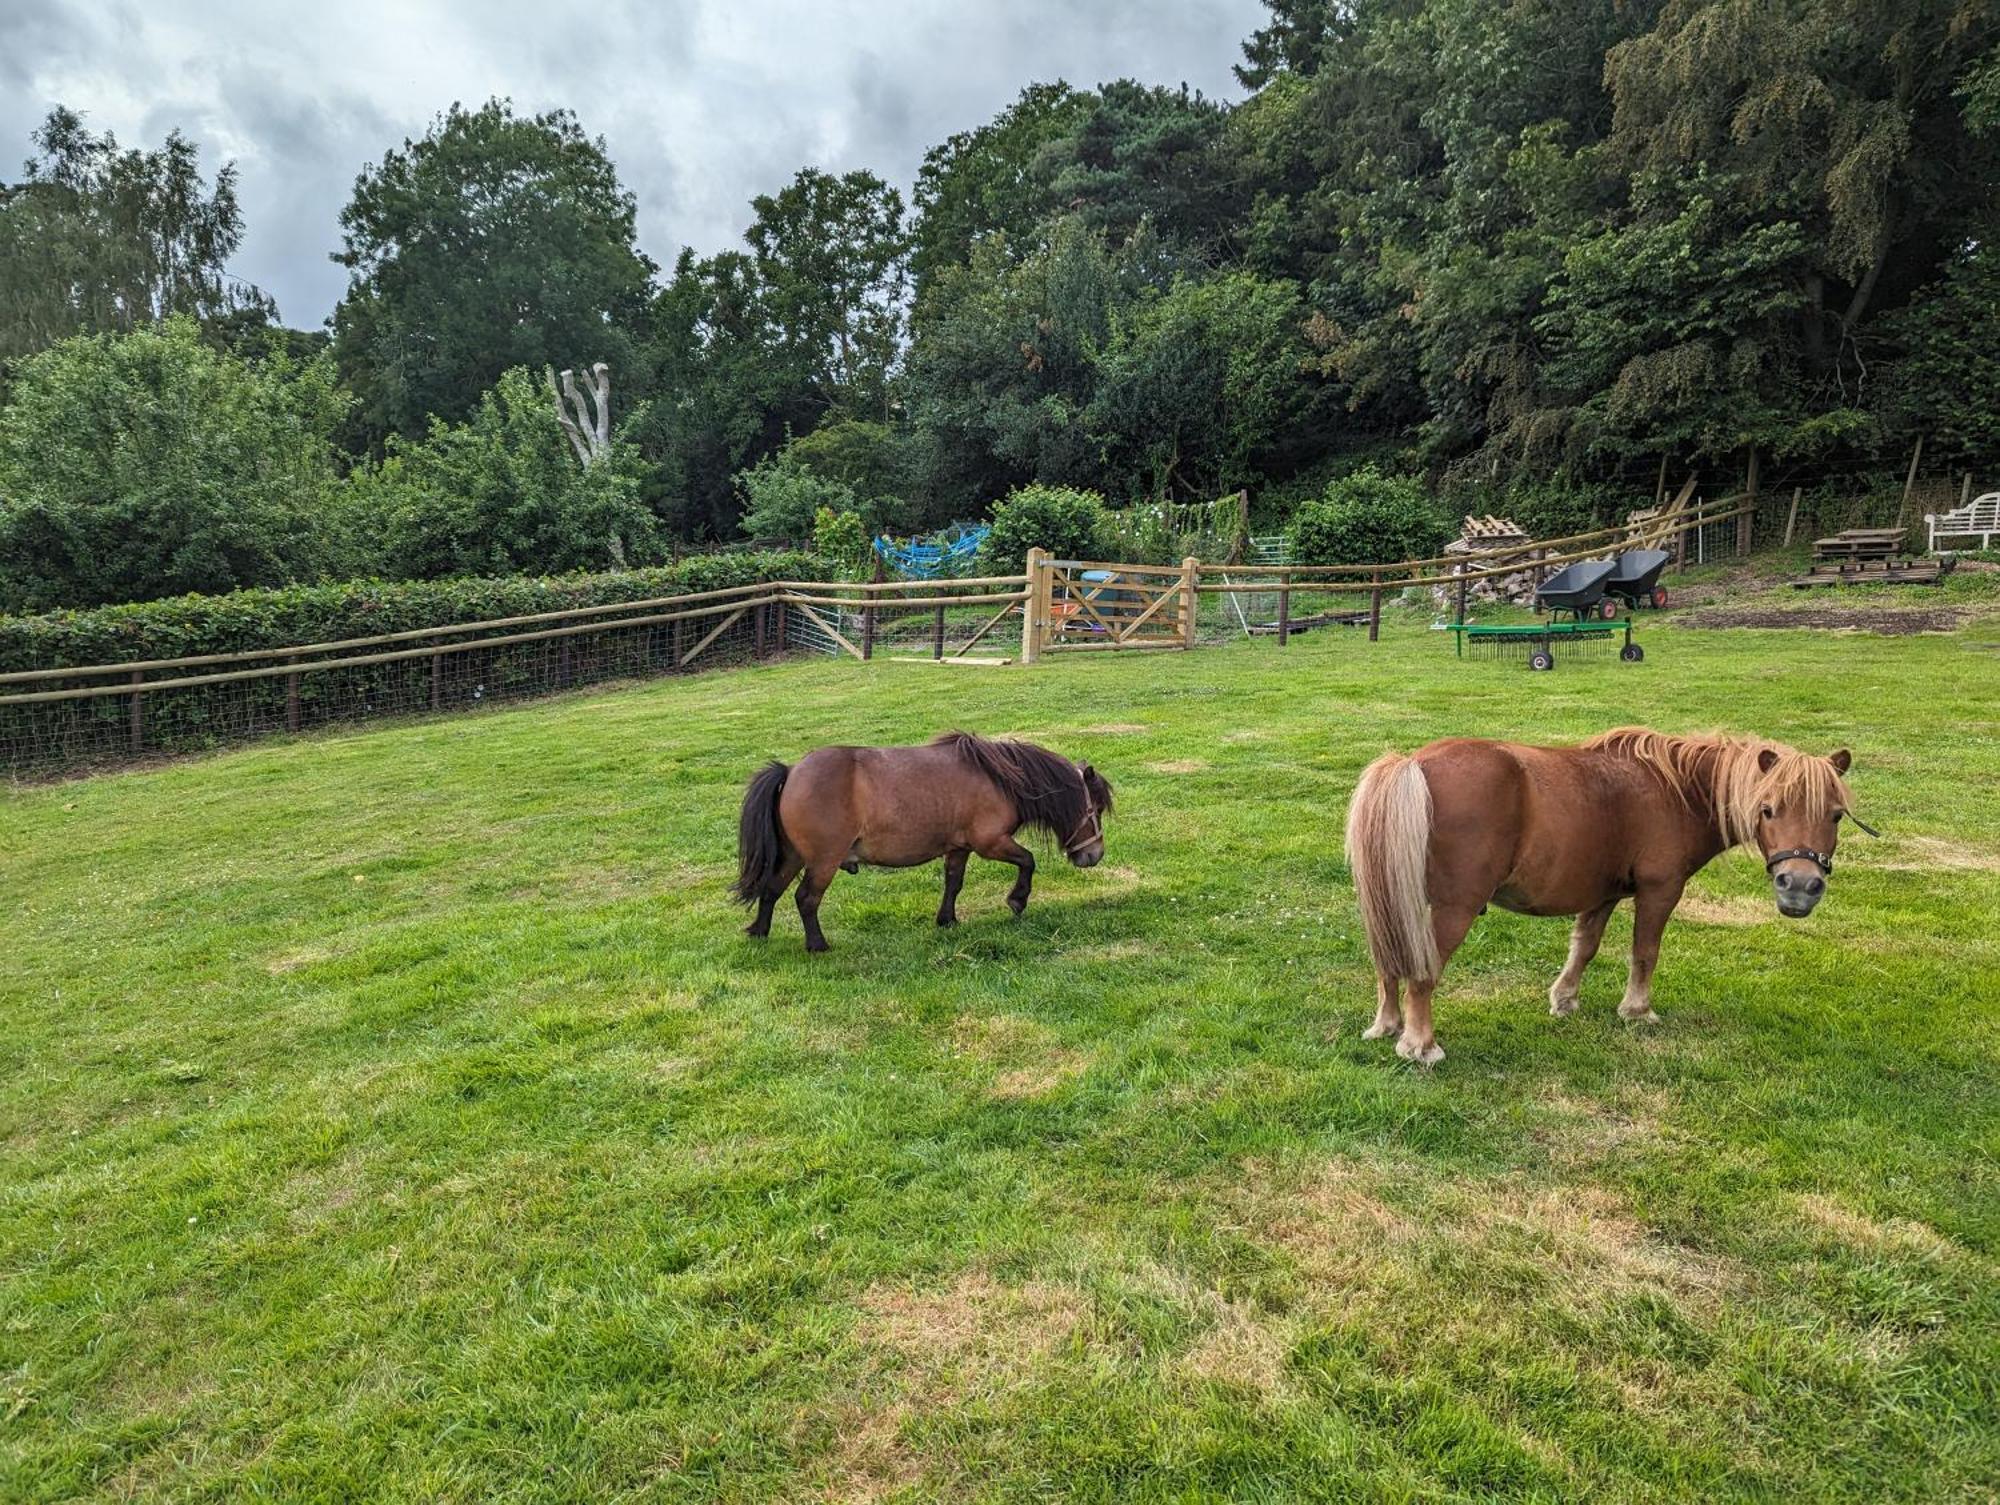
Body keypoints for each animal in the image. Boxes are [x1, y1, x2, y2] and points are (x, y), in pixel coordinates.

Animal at [732, 732, 1112, 952]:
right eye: (1095, 809)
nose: (1094, 855)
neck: (999, 778)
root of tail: (791, 771)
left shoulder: (959, 848)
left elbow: (953, 883)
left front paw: (947, 920)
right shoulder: (990, 842)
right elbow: (1028, 861)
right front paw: (1017, 900)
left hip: (794, 856)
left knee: (771, 889)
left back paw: (759, 932)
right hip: (824, 861)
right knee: (806, 898)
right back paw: (817, 944)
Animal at [1336, 724, 1864, 1056]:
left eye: (1836, 815)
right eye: (1768, 809)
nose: (1800, 887)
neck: (1675, 790)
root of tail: (1412, 764)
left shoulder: (1602, 895)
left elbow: (1584, 947)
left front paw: (1564, 1000)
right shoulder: (1659, 891)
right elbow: (1645, 953)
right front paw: (1637, 1011)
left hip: (1392, 904)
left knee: (1389, 964)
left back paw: (1387, 1026)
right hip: (1452, 910)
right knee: (1422, 972)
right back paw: (1419, 1044)